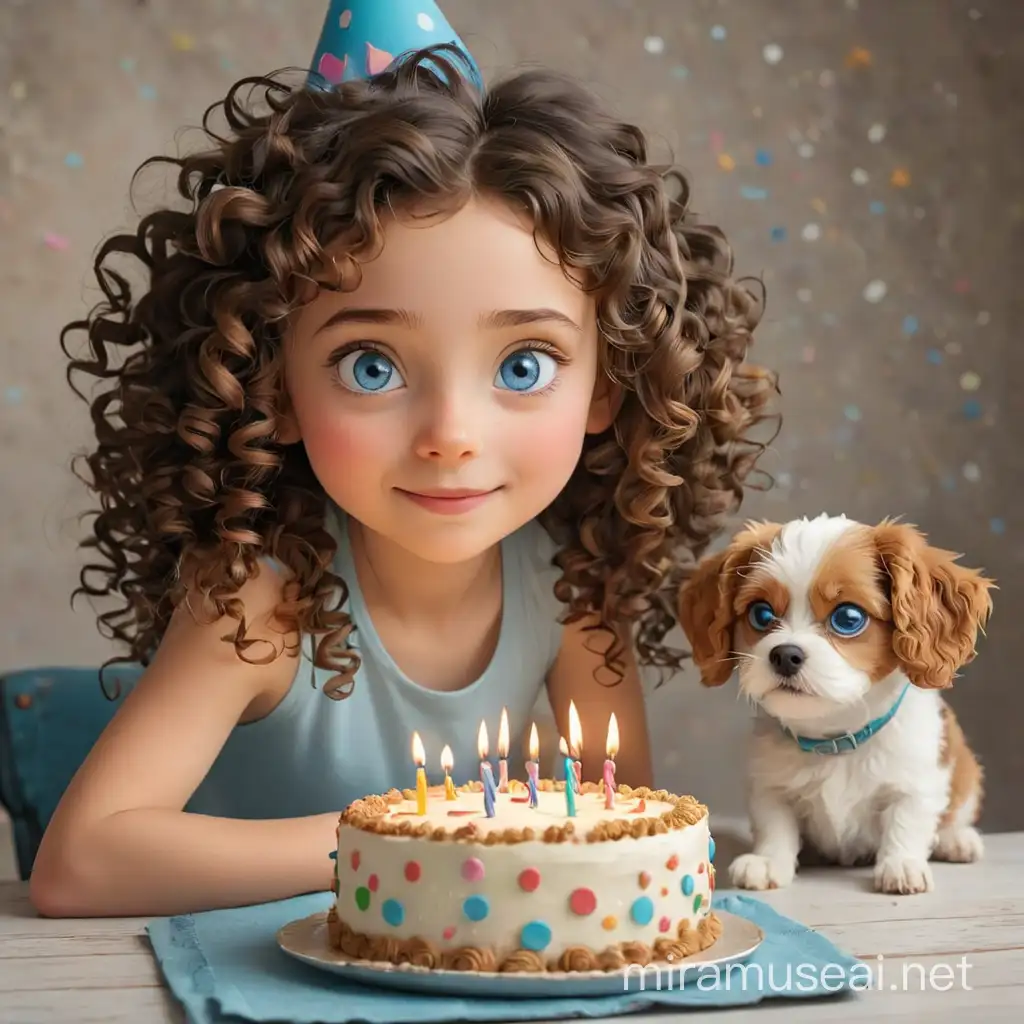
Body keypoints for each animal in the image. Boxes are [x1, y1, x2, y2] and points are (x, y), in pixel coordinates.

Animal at [675, 516, 995, 892]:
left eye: (848, 618)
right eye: (761, 614)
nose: (784, 655)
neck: (835, 740)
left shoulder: (918, 779)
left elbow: (907, 819)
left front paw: (901, 864)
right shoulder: (769, 784)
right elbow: (775, 822)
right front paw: (768, 861)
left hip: (967, 770)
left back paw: (956, 840)